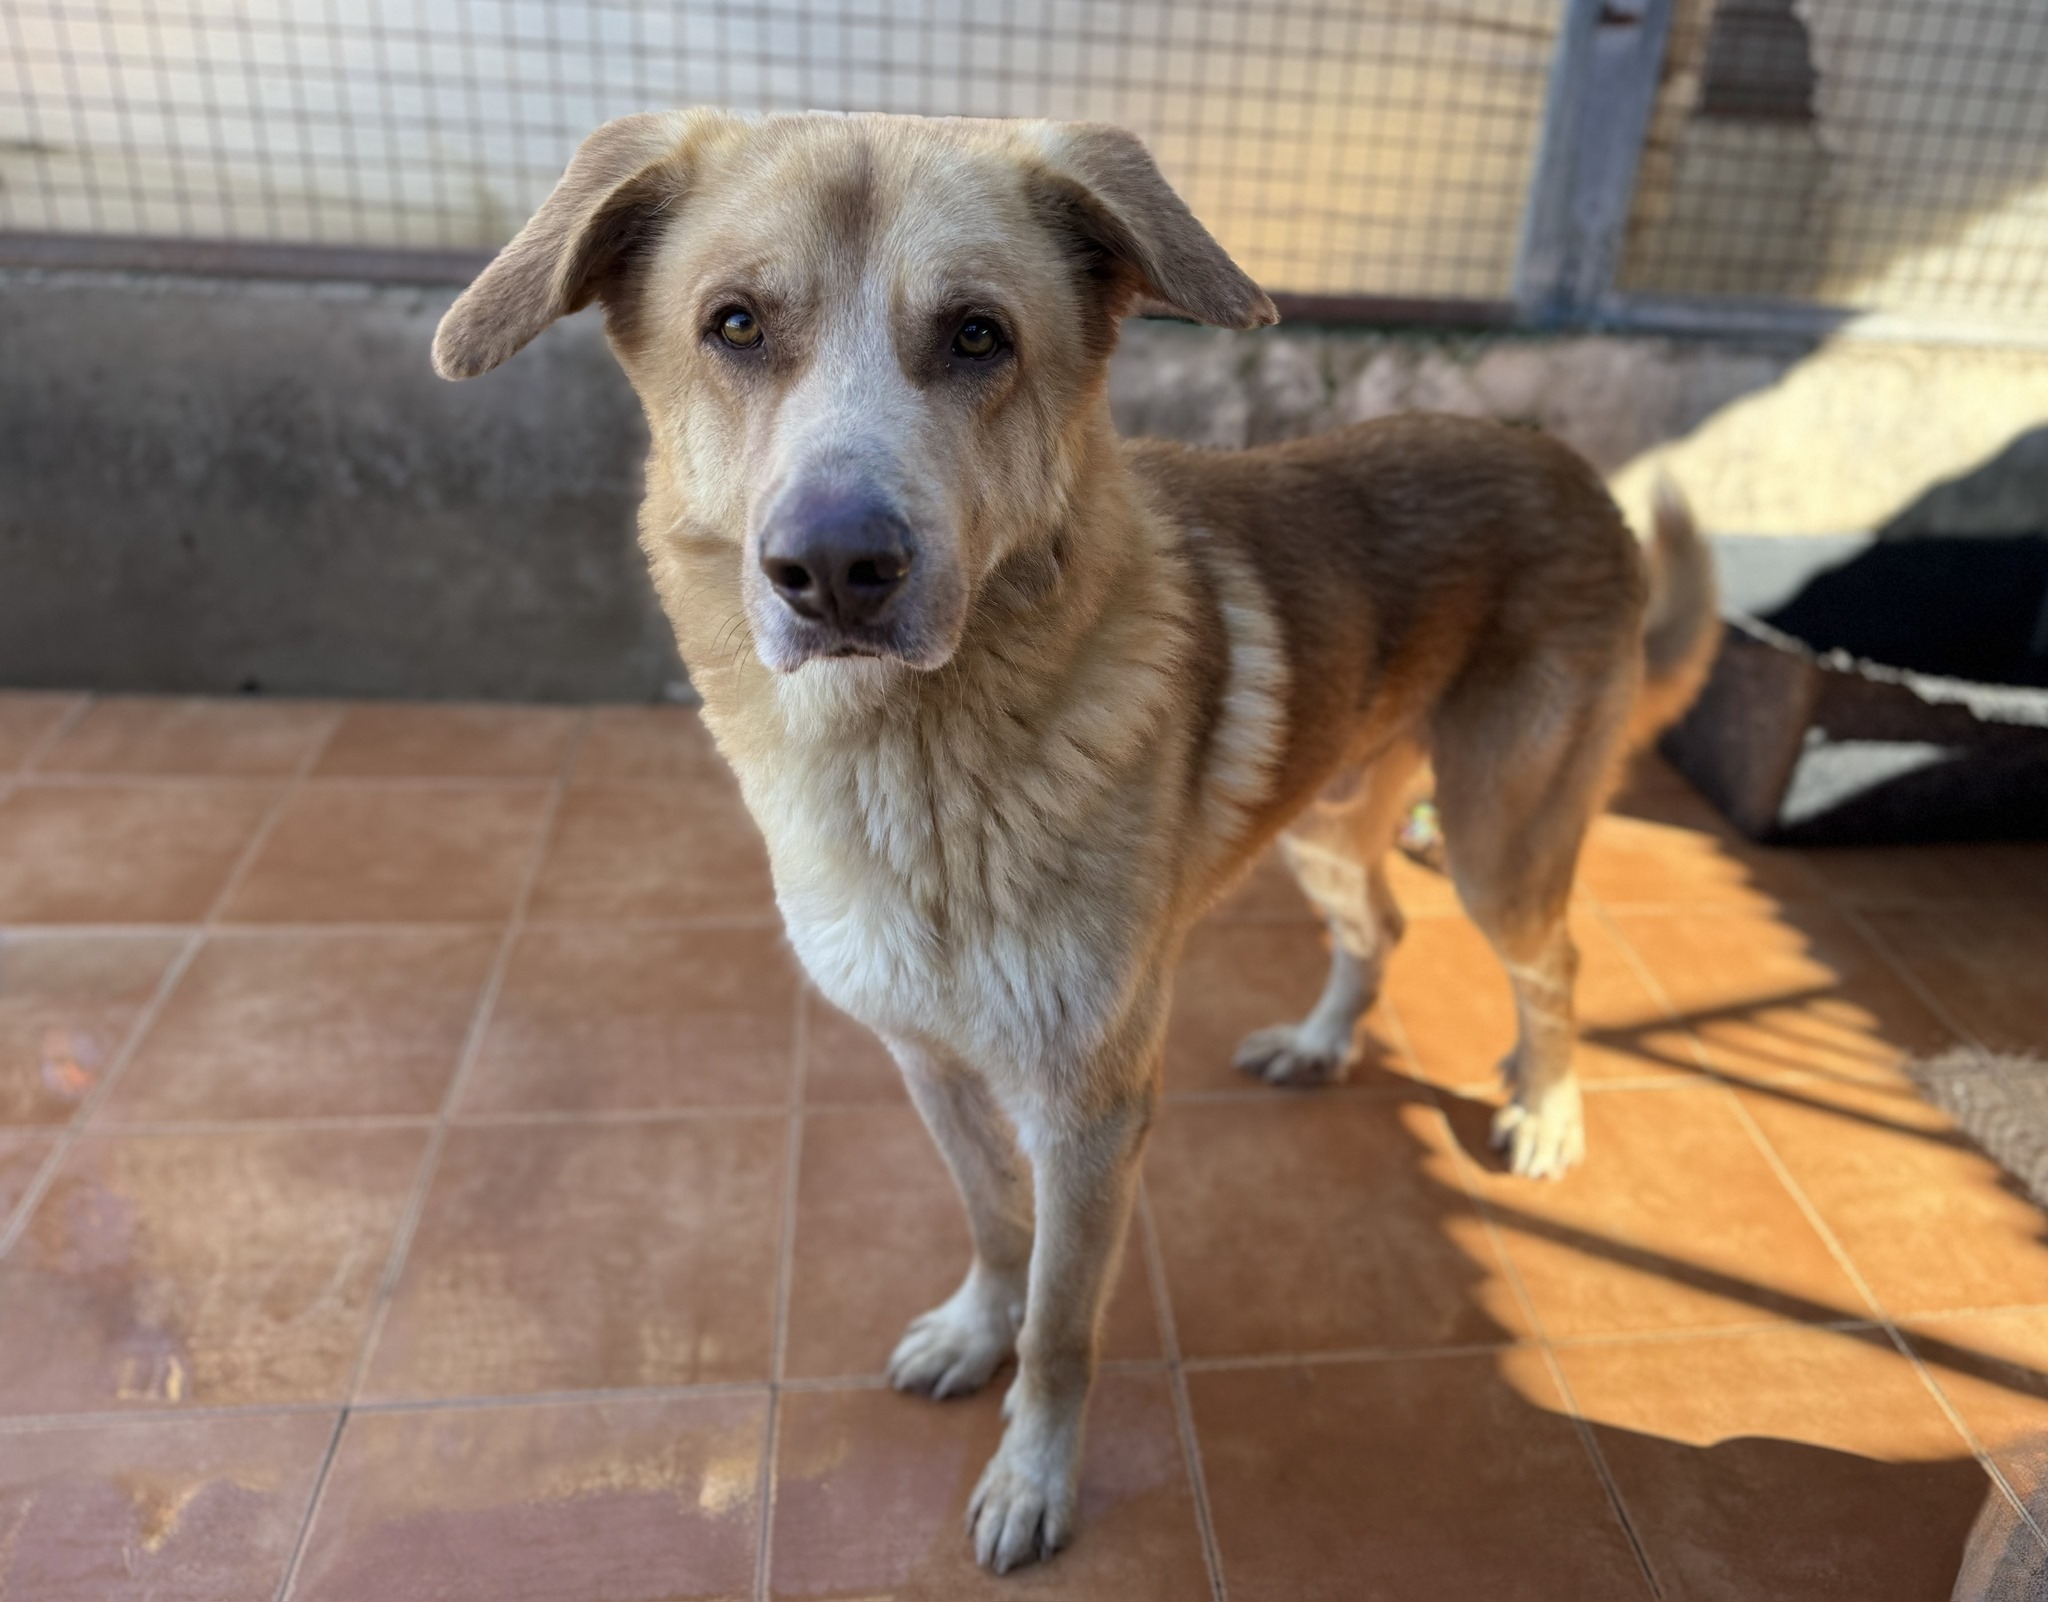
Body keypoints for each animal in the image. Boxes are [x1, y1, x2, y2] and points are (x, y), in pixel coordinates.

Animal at [432, 109, 1719, 1573]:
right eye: (736, 324)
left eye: (977, 336)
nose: (834, 570)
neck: (918, 769)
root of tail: (1567, 464)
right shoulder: (928, 1059)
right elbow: (996, 1224)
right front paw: (972, 1330)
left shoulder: (1091, 1109)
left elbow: (1062, 1321)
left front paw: (1032, 1476)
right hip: (1327, 824)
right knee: (1380, 924)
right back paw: (1323, 1044)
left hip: (1501, 841)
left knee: (1553, 967)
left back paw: (1546, 1109)